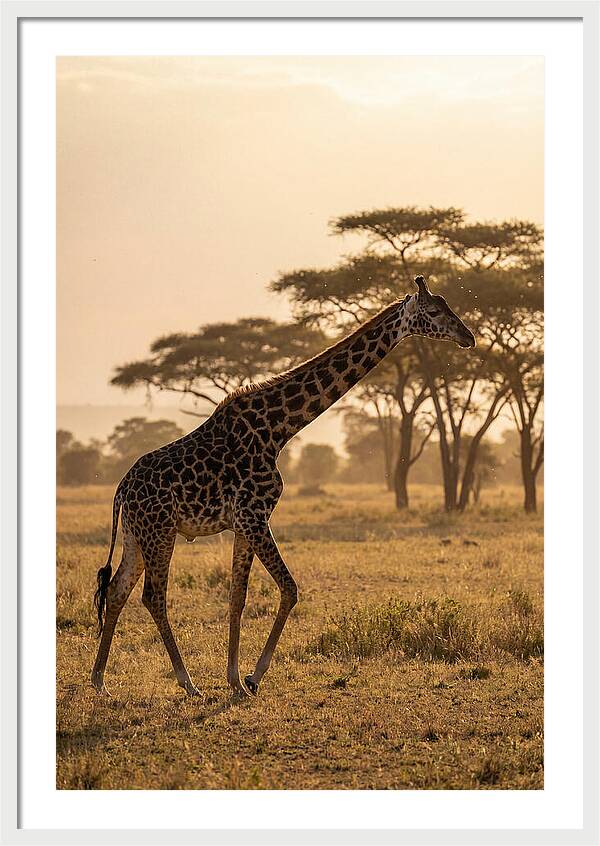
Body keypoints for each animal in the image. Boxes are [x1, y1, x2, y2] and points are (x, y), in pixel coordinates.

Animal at [91, 275, 475, 698]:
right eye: (435, 311)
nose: (469, 337)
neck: (278, 429)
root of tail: (122, 489)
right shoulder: (254, 515)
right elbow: (289, 589)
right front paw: (253, 677)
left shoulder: (244, 524)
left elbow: (237, 596)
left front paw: (235, 680)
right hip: (160, 532)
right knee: (153, 596)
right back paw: (187, 683)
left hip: (136, 535)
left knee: (117, 589)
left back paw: (100, 680)